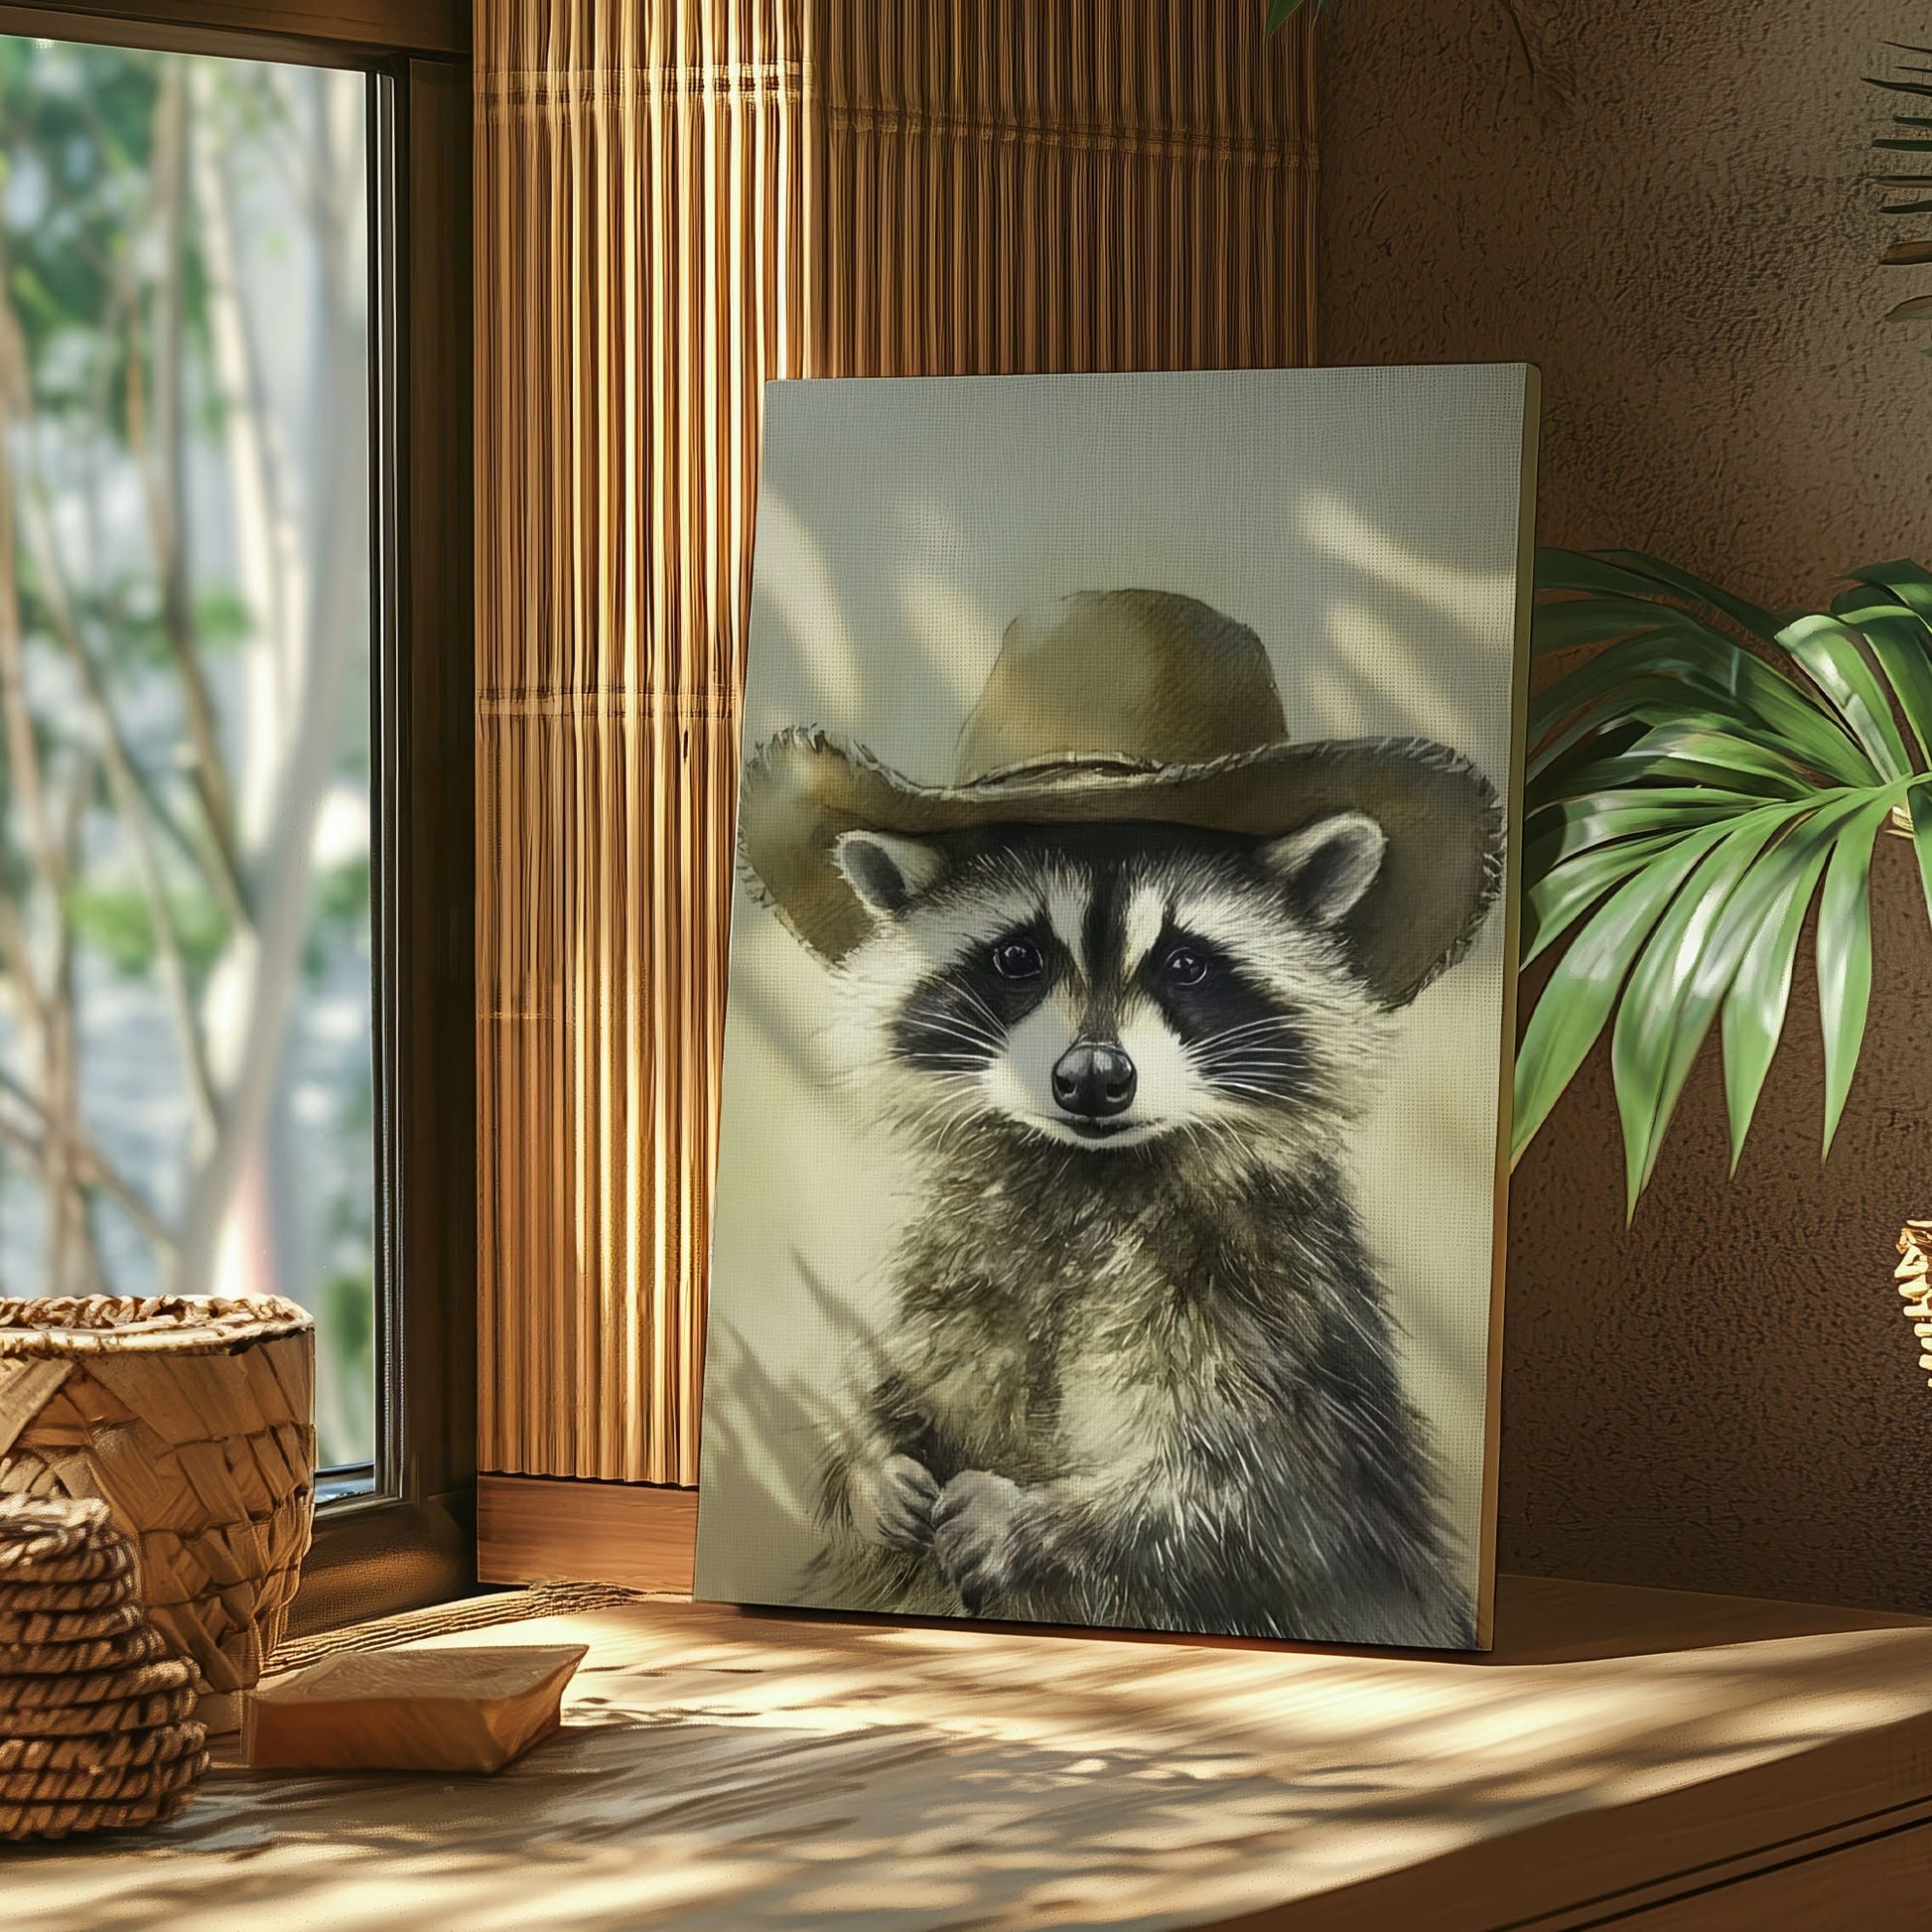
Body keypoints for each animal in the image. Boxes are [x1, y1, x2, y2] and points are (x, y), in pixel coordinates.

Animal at [806, 809, 1470, 1649]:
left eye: (1186, 964)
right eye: (1018, 957)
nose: (1092, 1077)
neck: (1087, 1172)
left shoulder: (1276, 1301)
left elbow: (1267, 1499)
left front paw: (1039, 1523)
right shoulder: (949, 1256)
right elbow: (882, 1376)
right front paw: (862, 1459)